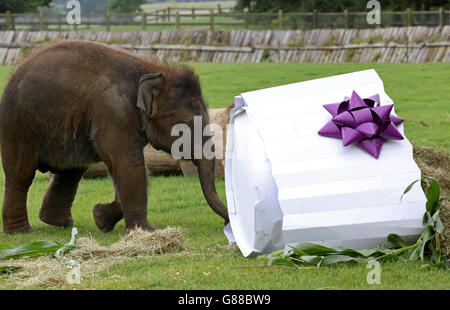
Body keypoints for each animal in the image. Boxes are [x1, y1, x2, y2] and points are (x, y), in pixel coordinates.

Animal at [0, 40, 227, 234]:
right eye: (187, 125)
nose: (226, 223)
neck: (149, 70)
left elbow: (129, 168)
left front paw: (100, 218)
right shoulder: (114, 111)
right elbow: (129, 164)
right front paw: (146, 231)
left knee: (70, 171)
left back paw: (58, 222)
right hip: (17, 124)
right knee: (21, 175)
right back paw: (21, 232)